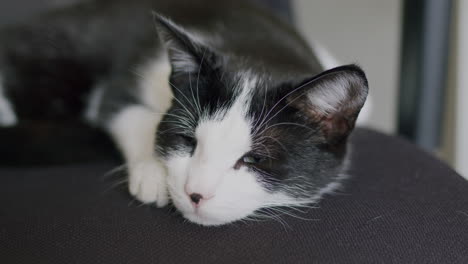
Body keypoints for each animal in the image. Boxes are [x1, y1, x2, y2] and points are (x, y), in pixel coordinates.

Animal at [0, 0, 370, 226]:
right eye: (187, 140)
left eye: (255, 160)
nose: (196, 194)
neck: (259, 47)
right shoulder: (124, 80)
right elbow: (124, 109)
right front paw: (153, 173)